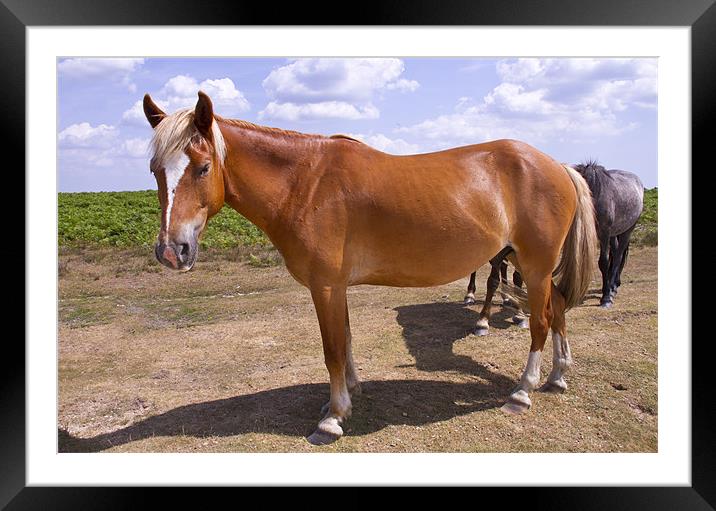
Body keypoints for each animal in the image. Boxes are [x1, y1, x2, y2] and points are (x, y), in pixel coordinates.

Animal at [143, 92, 596, 444]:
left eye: (203, 167)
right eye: (155, 170)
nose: (172, 251)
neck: (305, 183)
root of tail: (557, 165)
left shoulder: (324, 286)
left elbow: (331, 349)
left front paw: (332, 418)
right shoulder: (336, 287)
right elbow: (344, 339)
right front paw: (348, 395)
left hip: (535, 267)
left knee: (540, 321)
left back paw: (523, 391)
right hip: (527, 263)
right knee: (557, 309)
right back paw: (558, 375)